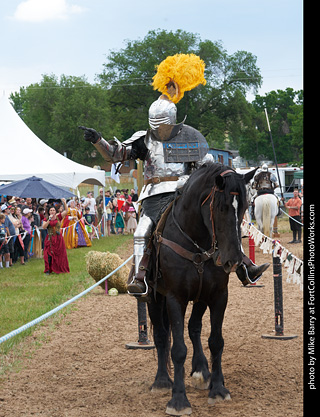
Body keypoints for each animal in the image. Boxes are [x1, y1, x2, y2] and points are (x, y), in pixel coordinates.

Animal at [147, 162, 255, 412]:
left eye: (245, 207)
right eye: (222, 207)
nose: (233, 260)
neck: (196, 242)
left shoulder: (218, 296)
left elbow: (216, 341)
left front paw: (218, 388)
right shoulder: (174, 298)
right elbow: (177, 349)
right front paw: (178, 400)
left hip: (200, 298)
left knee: (194, 328)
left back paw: (202, 372)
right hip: (153, 298)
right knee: (161, 335)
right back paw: (162, 380)